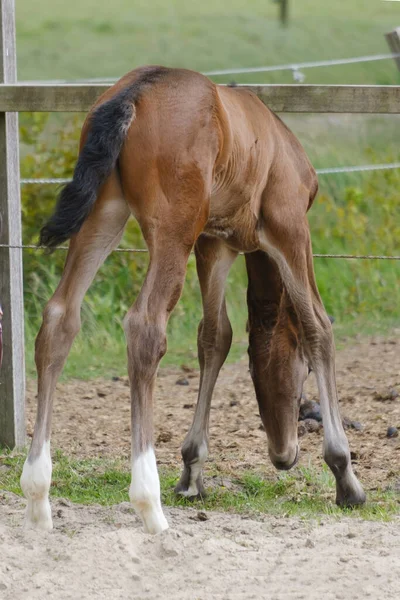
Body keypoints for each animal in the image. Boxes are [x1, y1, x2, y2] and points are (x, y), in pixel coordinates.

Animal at [21, 65, 366, 536]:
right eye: (301, 375)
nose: (283, 456)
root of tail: (132, 93)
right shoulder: (290, 225)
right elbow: (317, 326)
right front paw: (345, 476)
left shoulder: (214, 243)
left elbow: (215, 337)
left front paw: (191, 473)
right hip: (173, 228)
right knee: (145, 326)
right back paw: (148, 503)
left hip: (104, 216)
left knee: (60, 317)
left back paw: (39, 497)